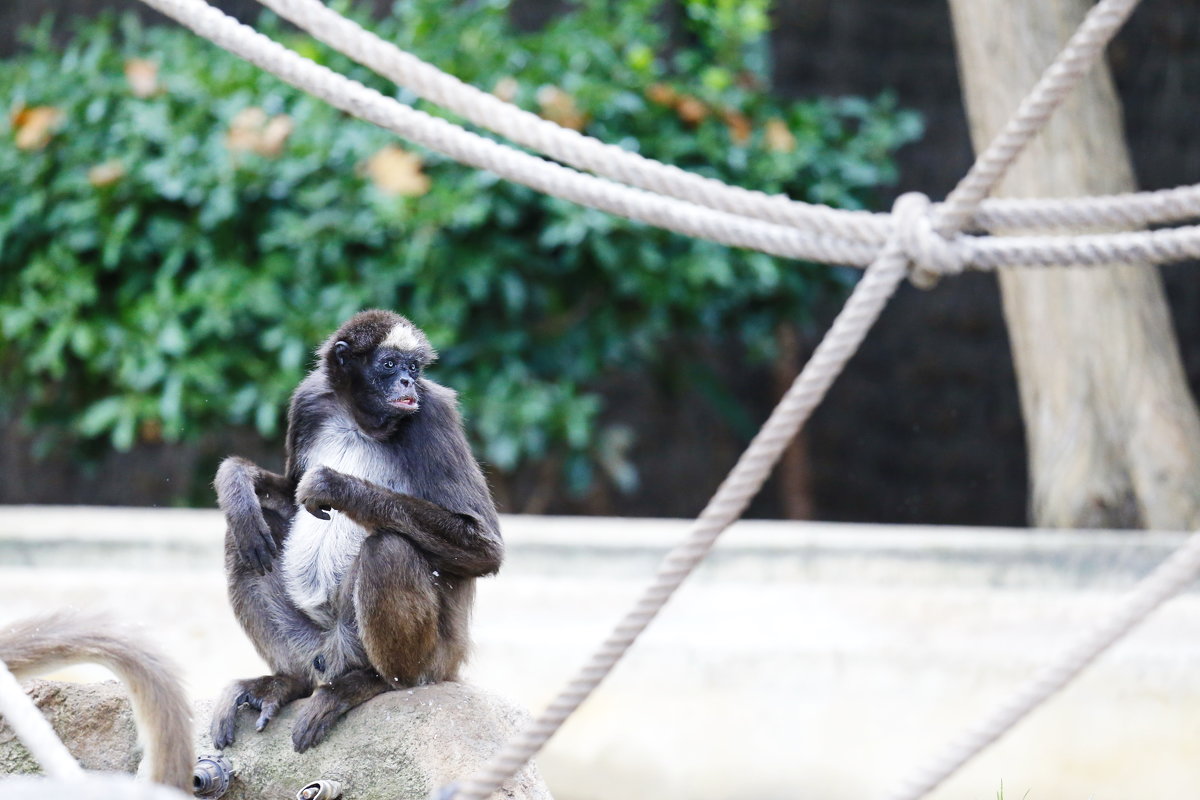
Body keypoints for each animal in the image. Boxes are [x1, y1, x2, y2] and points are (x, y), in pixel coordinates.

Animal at [211, 309, 501, 753]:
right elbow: (285, 493)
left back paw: (374, 682)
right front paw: (236, 483)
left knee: (389, 547)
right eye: (389, 365)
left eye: (413, 368)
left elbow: (486, 549)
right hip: (310, 644)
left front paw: (334, 485)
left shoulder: (432, 412)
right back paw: (289, 681)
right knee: (243, 536)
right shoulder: (310, 398)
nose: (407, 383)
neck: (360, 422)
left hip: (429, 660)